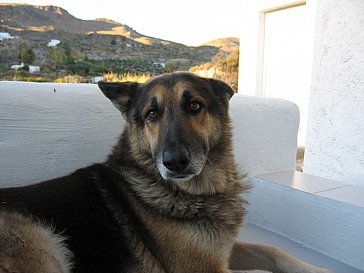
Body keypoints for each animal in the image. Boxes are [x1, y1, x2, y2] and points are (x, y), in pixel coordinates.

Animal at [0, 72, 332, 272]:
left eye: (195, 106)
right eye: (152, 114)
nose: (174, 162)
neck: (198, 193)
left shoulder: (217, 249)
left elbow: (272, 250)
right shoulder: (202, 267)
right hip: (43, 243)